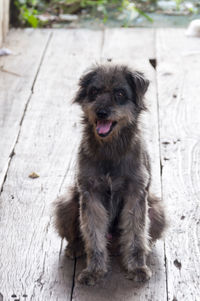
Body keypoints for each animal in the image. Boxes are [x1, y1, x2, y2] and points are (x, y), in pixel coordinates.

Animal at [54, 64, 166, 284]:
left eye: (120, 93)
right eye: (94, 92)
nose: (101, 112)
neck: (110, 148)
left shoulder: (135, 195)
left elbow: (136, 235)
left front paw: (137, 267)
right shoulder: (91, 195)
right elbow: (93, 236)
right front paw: (94, 270)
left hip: (157, 210)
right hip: (66, 203)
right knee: (77, 235)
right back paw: (75, 247)